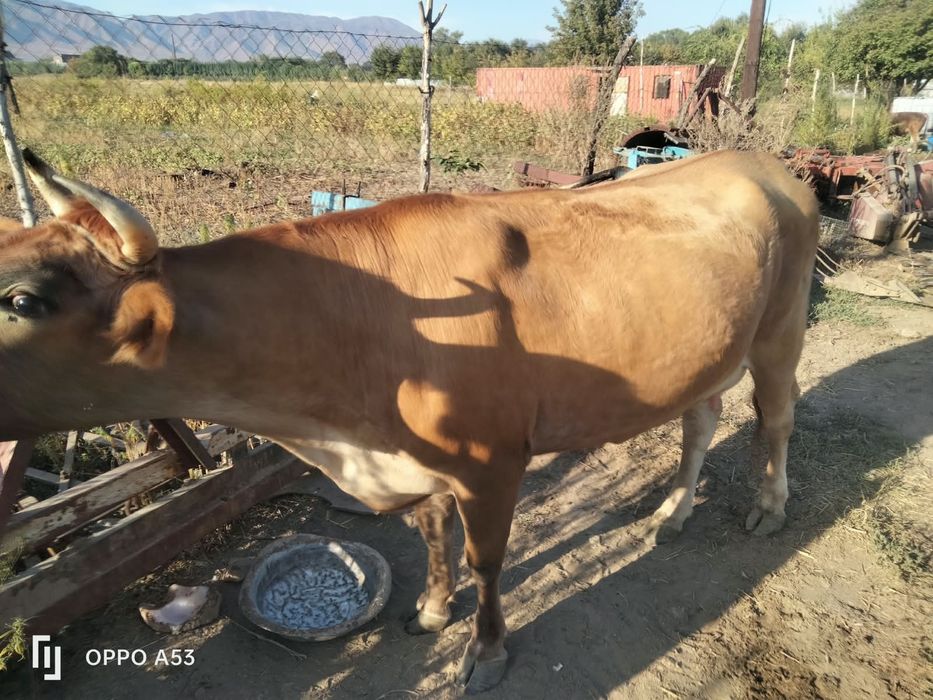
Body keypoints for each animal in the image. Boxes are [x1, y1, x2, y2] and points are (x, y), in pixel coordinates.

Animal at [0, 149, 818, 692]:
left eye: (23, 300)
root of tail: (759, 161)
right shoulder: (419, 463)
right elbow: (430, 534)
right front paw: (430, 611)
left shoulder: (492, 463)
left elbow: (487, 561)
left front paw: (485, 654)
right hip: (709, 347)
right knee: (701, 421)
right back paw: (672, 513)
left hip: (780, 329)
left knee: (776, 419)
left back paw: (770, 508)